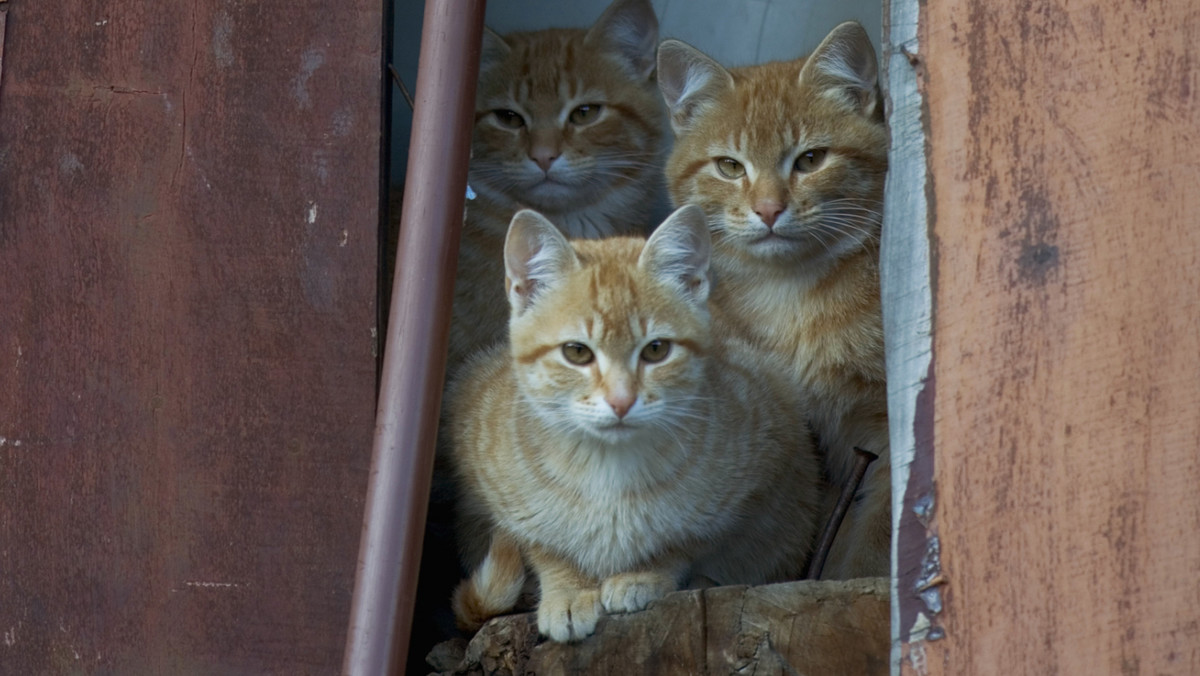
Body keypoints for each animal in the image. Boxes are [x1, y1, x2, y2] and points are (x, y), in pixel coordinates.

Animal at [451, 205, 825, 638]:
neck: (607, 469)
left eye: (657, 350)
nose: (621, 401)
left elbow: (687, 541)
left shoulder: (765, 470)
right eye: (576, 352)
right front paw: (568, 589)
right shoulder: (485, 464)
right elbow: (544, 546)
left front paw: (643, 575)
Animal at [657, 23, 892, 578]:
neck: (792, 298)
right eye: (728, 166)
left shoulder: (884, 428)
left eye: (810, 159)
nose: (767, 210)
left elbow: (874, 536)